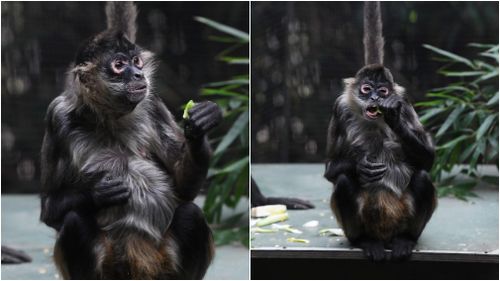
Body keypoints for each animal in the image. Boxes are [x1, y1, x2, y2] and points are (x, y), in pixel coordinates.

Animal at [38, 2, 220, 278]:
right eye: (119, 64)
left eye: (136, 61)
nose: (137, 74)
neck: (110, 118)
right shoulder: (56, 115)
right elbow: (50, 209)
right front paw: (98, 192)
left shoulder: (151, 102)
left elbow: (185, 191)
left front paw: (199, 125)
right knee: (74, 220)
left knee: (191, 214)